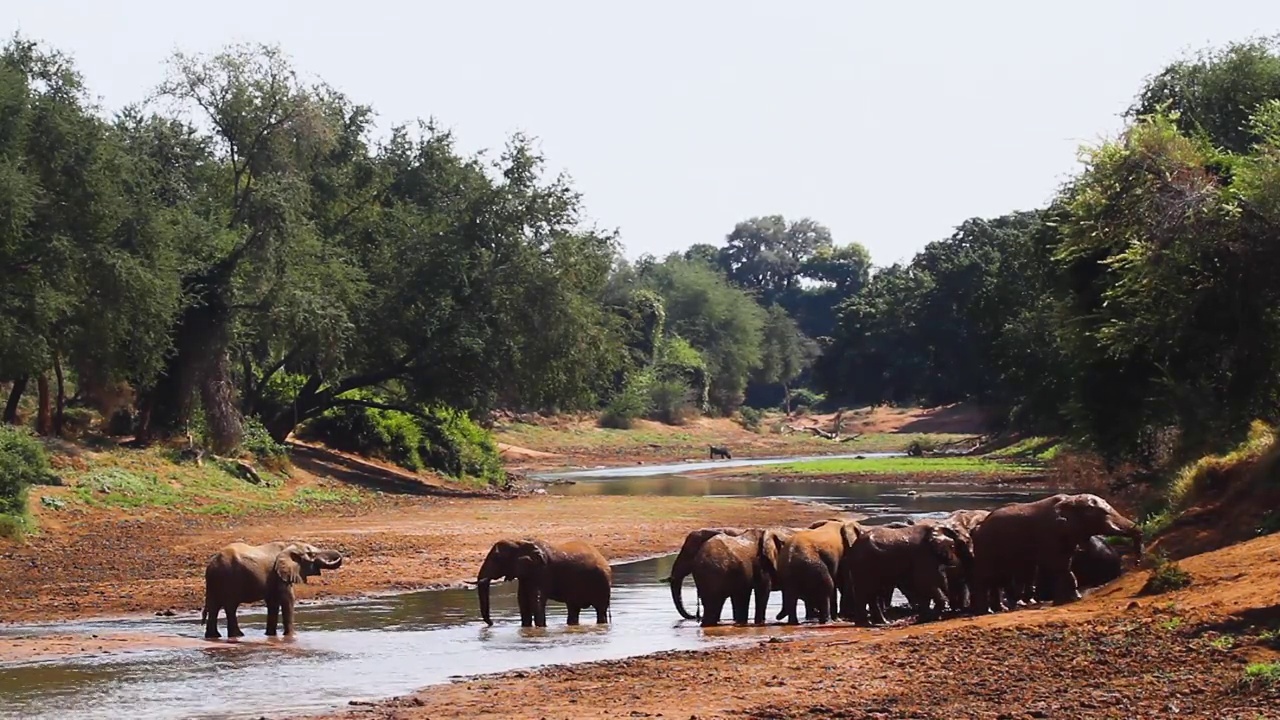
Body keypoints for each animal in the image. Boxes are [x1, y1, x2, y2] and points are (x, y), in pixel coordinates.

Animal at [199, 538, 343, 638]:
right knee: (230, 606)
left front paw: (270, 636)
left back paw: (214, 637)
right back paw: (238, 635)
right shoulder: (280, 575)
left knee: (215, 606)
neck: (288, 546)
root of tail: (212, 565)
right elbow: (288, 600)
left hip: (216, 581)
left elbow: (273, 603)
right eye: (311, 554)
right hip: (230, 578)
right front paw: (291, 636)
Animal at [478, 535, 611, 625]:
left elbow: (536, 600)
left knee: (600, 610)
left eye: (497, 559)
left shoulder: (542, 572)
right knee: (573, 609)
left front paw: (540, 628)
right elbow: (523, 601)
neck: (520, 541)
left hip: (602, 583)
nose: (492, 623)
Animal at [839, 517, 967, 625]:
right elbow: (925, 582)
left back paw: (882, 623)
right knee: (866, 591)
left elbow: (925, 585)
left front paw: (924, 619)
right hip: (863, 564)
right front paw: (929, 618)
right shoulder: (923, 555)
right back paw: (867, 624)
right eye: (954, 547)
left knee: (872, 593)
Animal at [967, 489, 1141, 614]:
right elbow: (1058, 565)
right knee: (986, 576)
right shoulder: (1050, 533)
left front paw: (1069, 600)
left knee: (997, 578)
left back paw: (996, 609)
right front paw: (1070, 600)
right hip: (986, 547)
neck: (1071, 500)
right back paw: (985, 612)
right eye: (1103, 514)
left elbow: (1065, 564)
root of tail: (978, 527)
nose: (1137, 563)